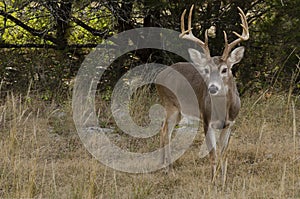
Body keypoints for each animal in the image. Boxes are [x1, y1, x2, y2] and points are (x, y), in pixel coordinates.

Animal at [155, 4, 248, 183]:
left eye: (225, 69)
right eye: (206, 70)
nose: (212, 88)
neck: (223, 110)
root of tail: (159, 75)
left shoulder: (230, 124)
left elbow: (224, 154)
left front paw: (223, 181)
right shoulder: (206, 120)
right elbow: (213, 154)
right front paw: (213, 182)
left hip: (178, 110)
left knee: (163, 129)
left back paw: (162, 166)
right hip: (170, 104)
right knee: (166, 132)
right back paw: (169, 170)